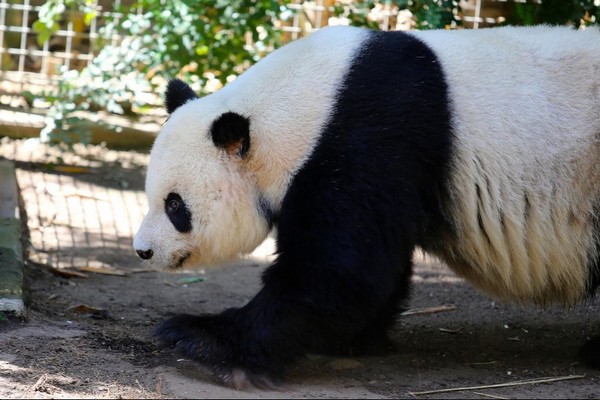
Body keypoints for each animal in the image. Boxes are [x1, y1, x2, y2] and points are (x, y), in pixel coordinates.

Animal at [134, 25, 600, 388]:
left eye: (175, 206)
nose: (143, 250)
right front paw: (356, 339)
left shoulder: (368, 134)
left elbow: (338, 271)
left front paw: (200, 337)